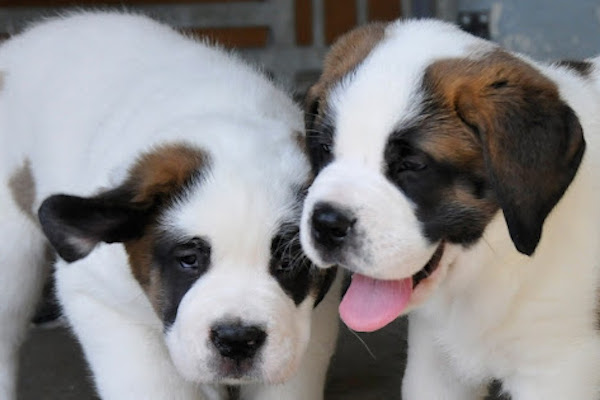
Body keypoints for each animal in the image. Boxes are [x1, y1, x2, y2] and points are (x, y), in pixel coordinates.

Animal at [0, 11, 340, 400]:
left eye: (288, 262)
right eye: (188, 260)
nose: (237, 339)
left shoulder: (313, 320)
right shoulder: (98, 297)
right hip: (11, 259)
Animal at [302, 19, 600, 400]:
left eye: (412, 165)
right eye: (325, 149)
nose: (327, 223)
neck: (492, 265)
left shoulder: (557, 371)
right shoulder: (434, 365)